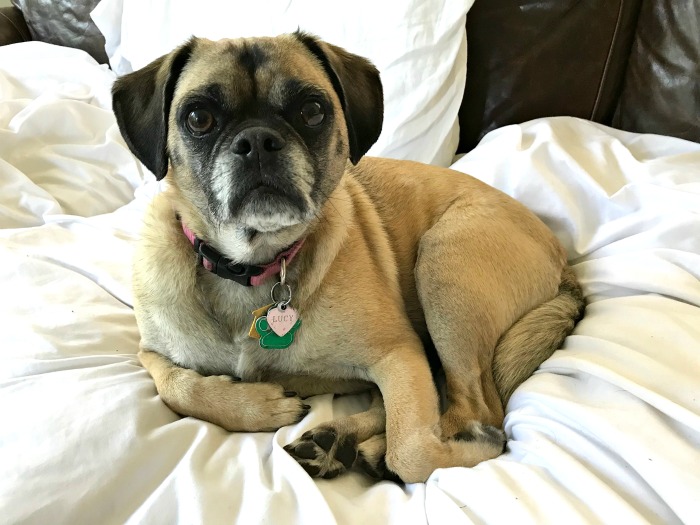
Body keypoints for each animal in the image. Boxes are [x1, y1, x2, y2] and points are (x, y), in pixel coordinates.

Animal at [112, 32, 585, 483]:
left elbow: (413, 447)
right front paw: (259, 406)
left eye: (312, 111)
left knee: (470, 413)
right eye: (199, 118)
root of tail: (564, 264)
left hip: (444, 265)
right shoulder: (149, 352)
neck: (253, 265)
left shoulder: (400, 356)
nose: (257, 141)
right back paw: (335, 442)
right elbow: (178, 385)